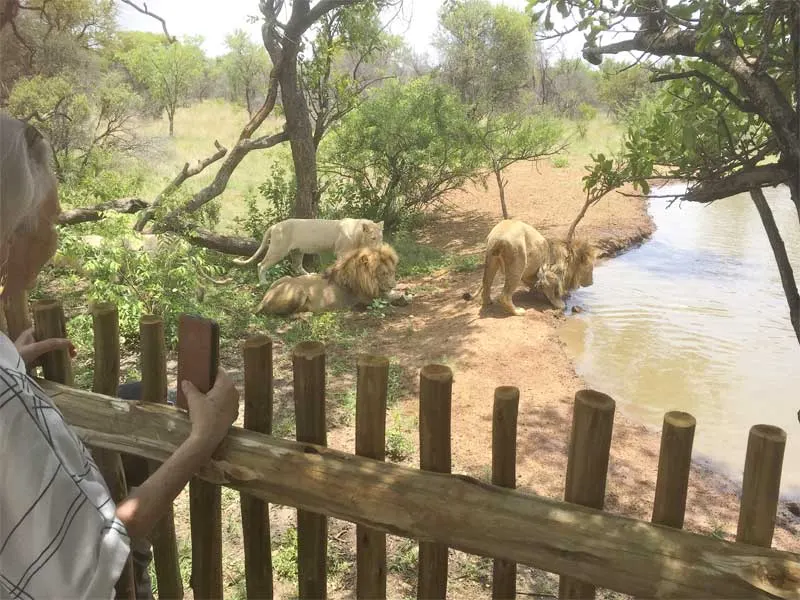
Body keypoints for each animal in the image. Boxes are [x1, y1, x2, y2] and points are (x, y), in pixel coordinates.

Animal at [233, 217, 384, 283]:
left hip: (297, 252)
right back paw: (263, 282)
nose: (380, 248)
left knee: (296, 266)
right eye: (373, 238)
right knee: (261, 265)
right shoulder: (342, 252)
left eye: (381, 237)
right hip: (278, 250)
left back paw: (310, 275)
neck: (359, 236)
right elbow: (342, 266)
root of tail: (275, 226)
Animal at [255, 243, 401, 315]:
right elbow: (390, 298)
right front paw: (402, 297)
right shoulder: (366, 299)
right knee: (287, 314)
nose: (392, 285)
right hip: (298, 291)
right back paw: (307, 315)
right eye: (383, 274)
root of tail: (264, 299)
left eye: (392, 272)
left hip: (285, 278)